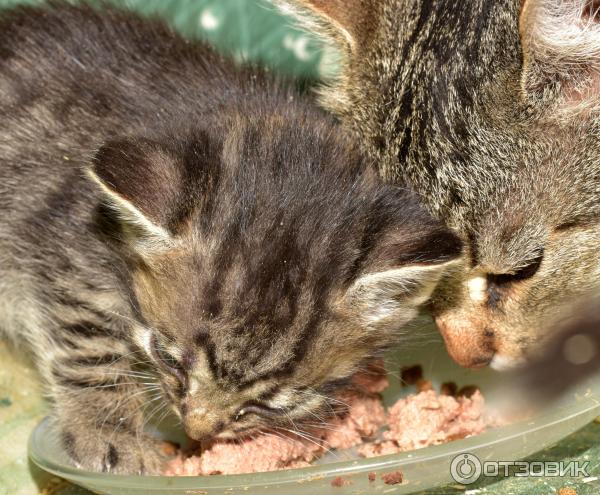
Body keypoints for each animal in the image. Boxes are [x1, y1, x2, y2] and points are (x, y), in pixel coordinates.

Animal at [0, 2, 462, 476]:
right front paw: (110, 434)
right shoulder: (67, 248)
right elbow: (90, 346)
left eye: (272, 402)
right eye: (168, 357)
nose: (200, 428)